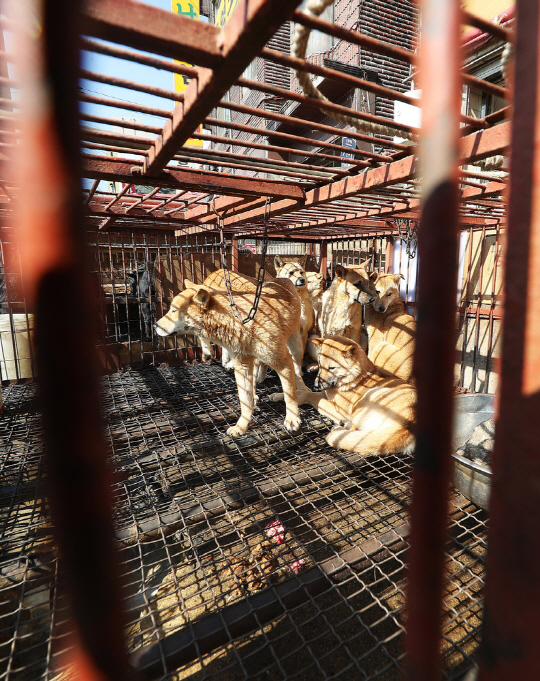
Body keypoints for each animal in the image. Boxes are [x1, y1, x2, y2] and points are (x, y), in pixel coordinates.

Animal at [156, 274, 308, 436]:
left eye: (174, 310)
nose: (154, 325)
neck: (242, 322)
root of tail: (281, 278)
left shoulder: (282, 362)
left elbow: (289, 395)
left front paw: (292, 419)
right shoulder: (242, 365)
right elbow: (244, 401)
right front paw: (241, 426)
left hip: (295, 348)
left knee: (297, 370)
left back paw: (302, 387)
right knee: (256, 373)